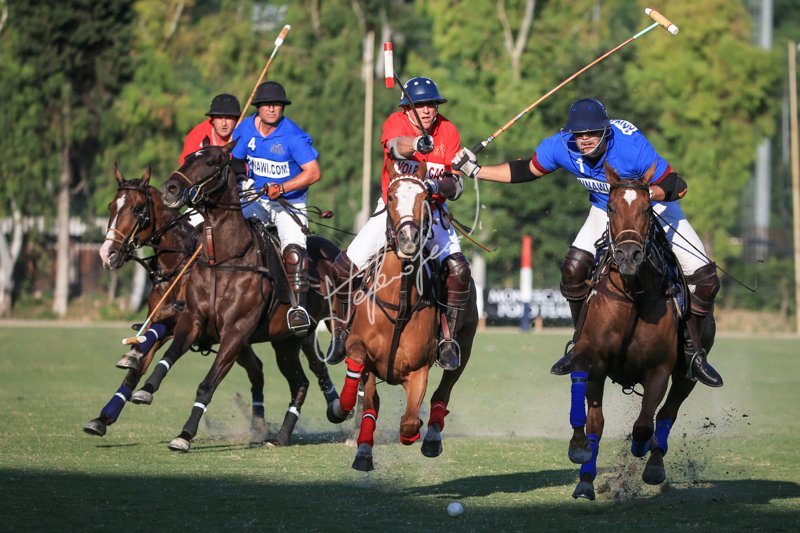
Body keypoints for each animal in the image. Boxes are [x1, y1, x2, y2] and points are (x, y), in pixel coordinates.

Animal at [84, 165, 338, 445]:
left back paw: (336, 407)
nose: (108, 254)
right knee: (270, 373)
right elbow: (136, 368)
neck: (179, 264)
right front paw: (103, 418)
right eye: (111, 206)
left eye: (138, 209)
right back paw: (264, 428)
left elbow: (157, 343)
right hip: (278, 341)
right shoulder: (174, 319)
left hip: (300, 333)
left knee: (316, 366)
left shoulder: (182, 320)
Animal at [149, 141, 342, 452]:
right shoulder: (193, 319)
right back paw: (282, 435)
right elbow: (169, 355)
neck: (225, 258)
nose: (170, 188)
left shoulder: (235, 332)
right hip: (287, 342)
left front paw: (185, 435)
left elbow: (207, 384)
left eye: (213, 162)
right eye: (190, 157)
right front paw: (145, 389)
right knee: (302, 381)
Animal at [566, 161, 701, 500]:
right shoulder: (593, 358)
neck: (634, 292)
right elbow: (592, 420)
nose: (628, 256)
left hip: (686, 375)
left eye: (647, 208)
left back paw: (654, 464)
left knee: (667, 413)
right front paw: (580, 455)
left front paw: (642, 447)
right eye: (611, 208)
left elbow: (644, 424)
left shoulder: (660, 369)